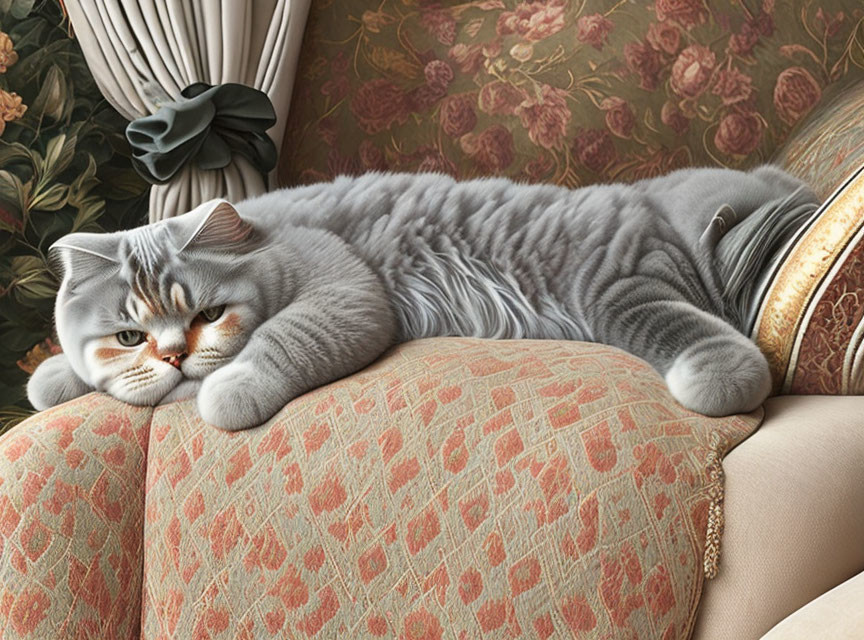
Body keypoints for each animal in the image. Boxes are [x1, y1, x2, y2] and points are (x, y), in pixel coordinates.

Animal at [25, 168, 816, 432]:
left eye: (207, 315)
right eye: (130, 335)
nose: (173, 355)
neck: (267, 233)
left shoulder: (346, 288)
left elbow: (280, 341)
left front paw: (226, 390)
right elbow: (74, 372)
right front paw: (56, 376)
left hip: (619, 278)